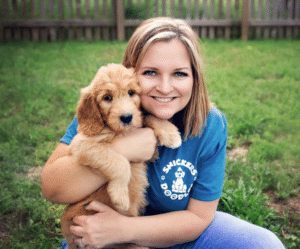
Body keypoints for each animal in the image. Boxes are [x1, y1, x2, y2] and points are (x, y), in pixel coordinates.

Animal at [61, 64, 182, 249]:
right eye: (107, 98)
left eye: (131, 92)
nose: (126, 118)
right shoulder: (82, 145)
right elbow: (119, 162)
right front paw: (120, 195)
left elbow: (147, 116)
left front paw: (169, 133)